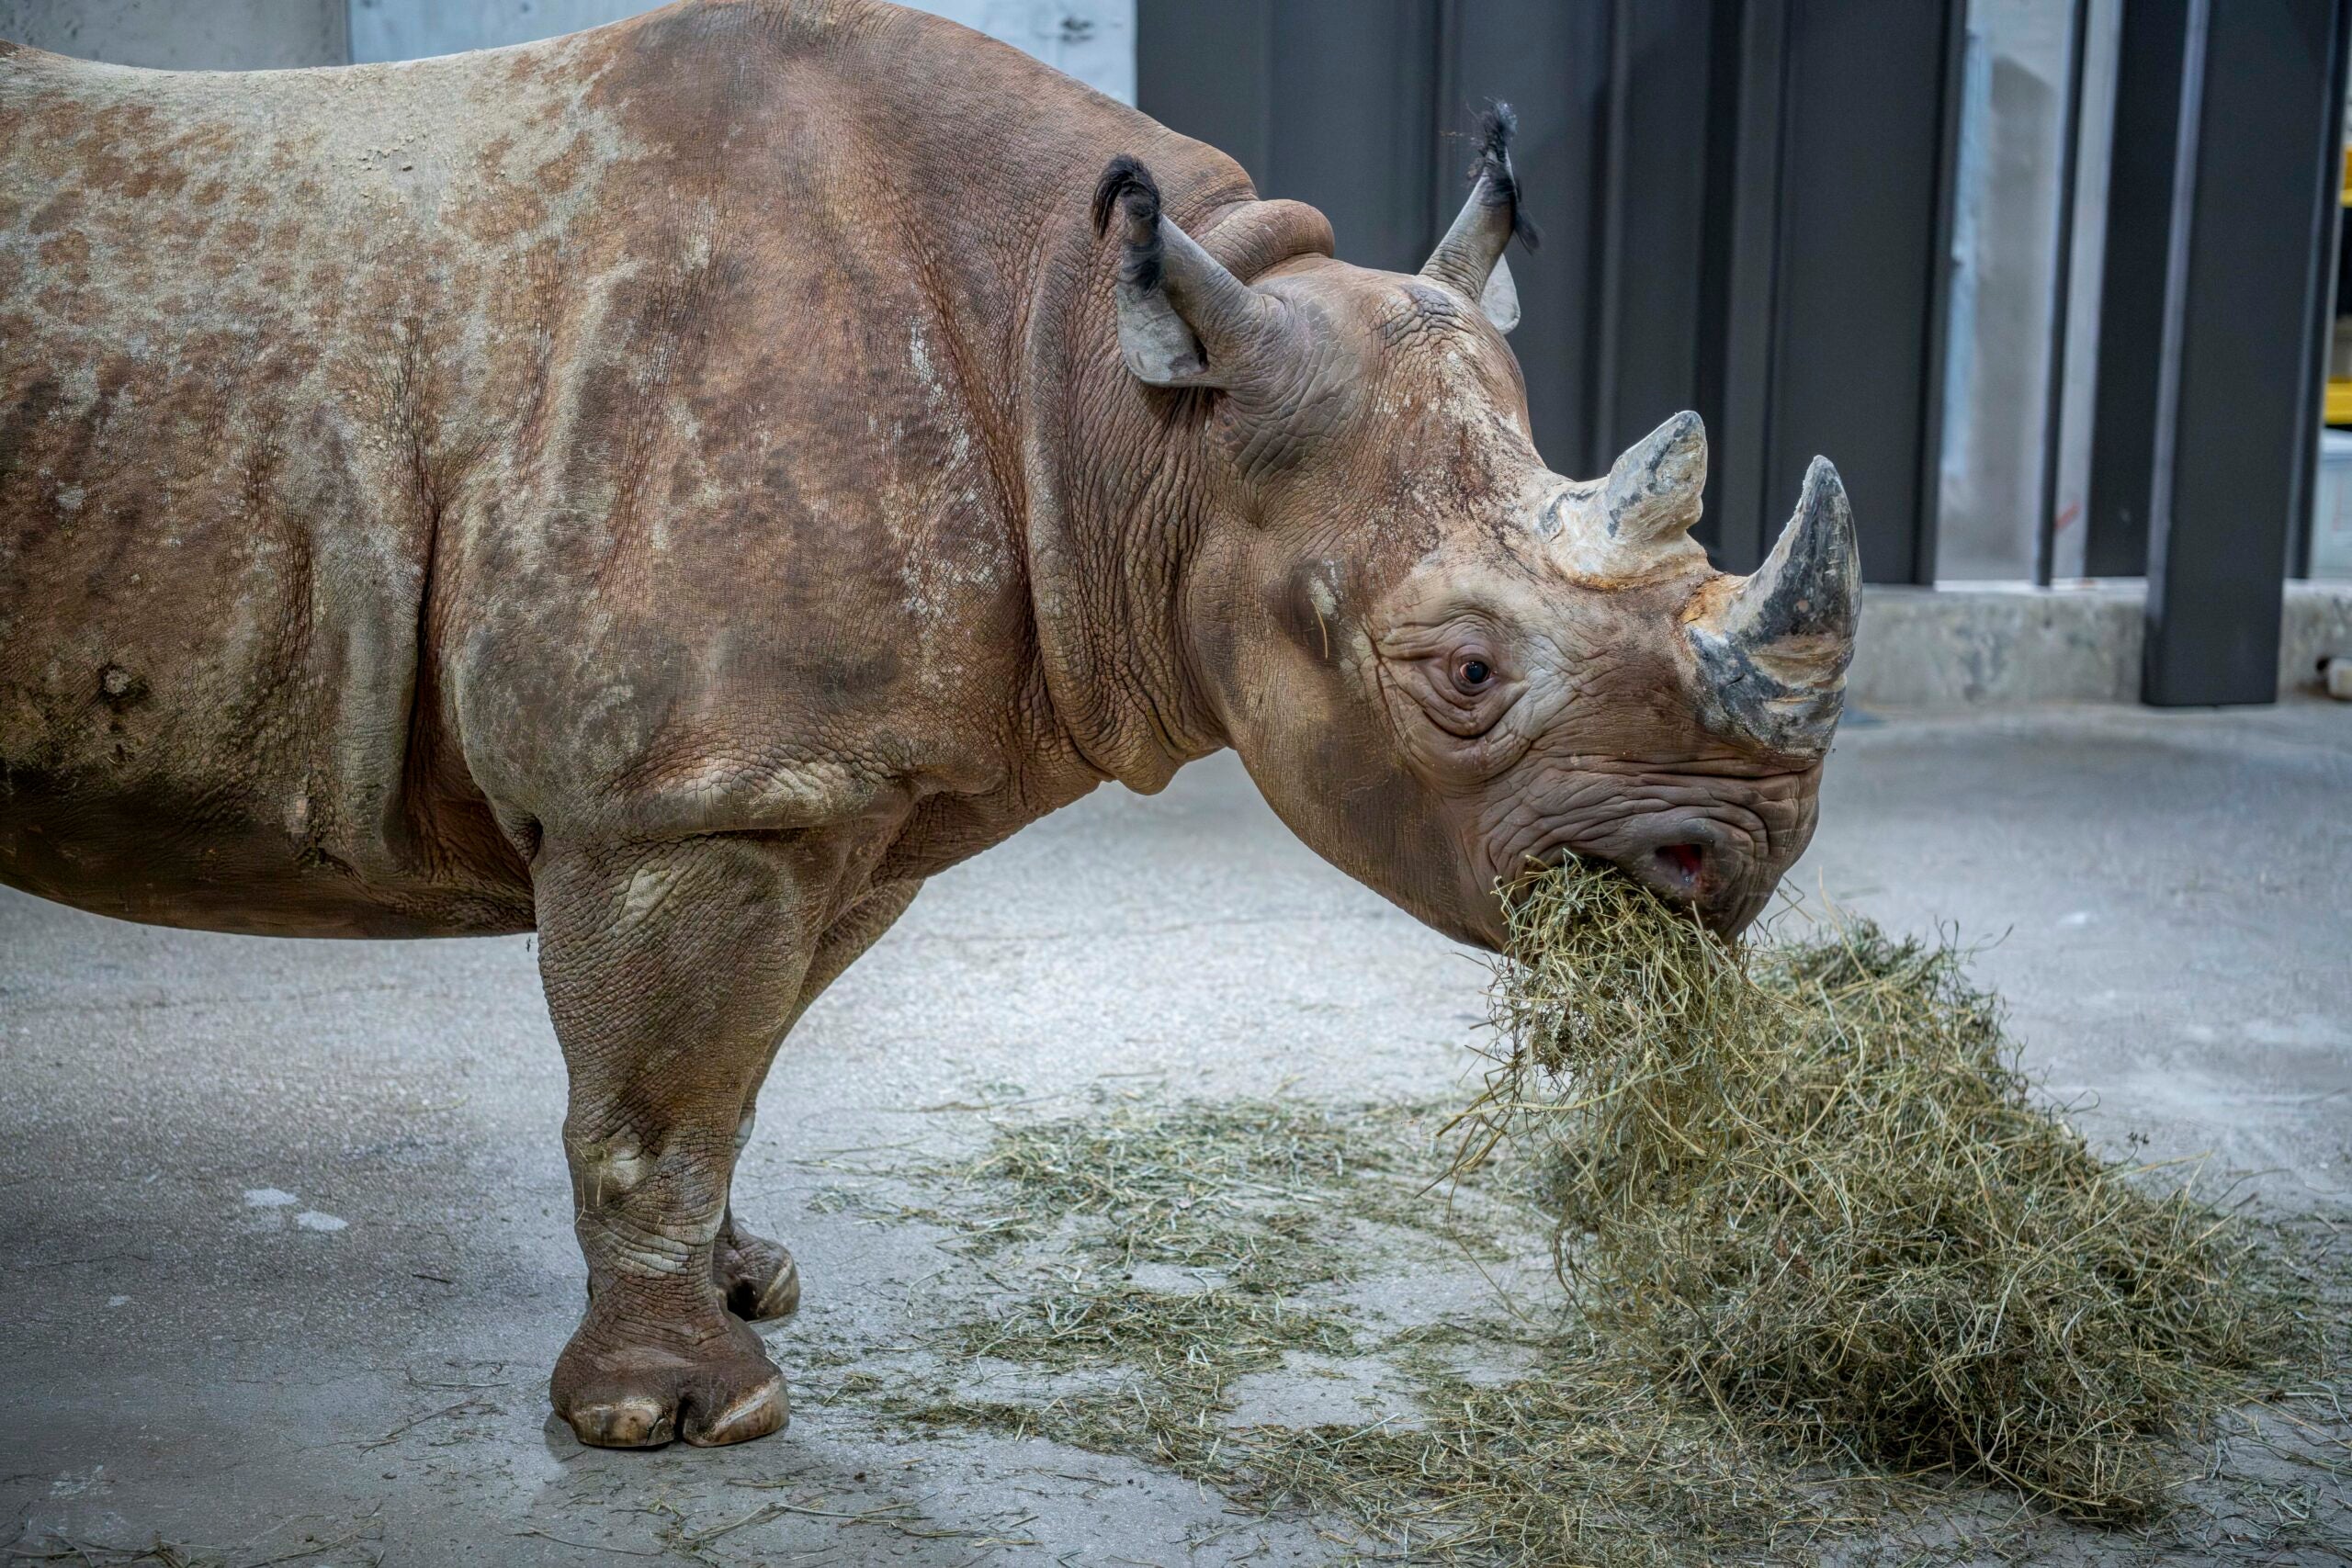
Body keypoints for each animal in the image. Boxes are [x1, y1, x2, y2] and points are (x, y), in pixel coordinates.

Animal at [0, 0, 1858, 1448]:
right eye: (1465, 673)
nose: (1737, 860)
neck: (1119, 409)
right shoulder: (680, 789)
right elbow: (656, 1098)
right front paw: (681, 1414)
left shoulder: (833, 786)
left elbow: (727, 1069)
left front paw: (748, 1287)